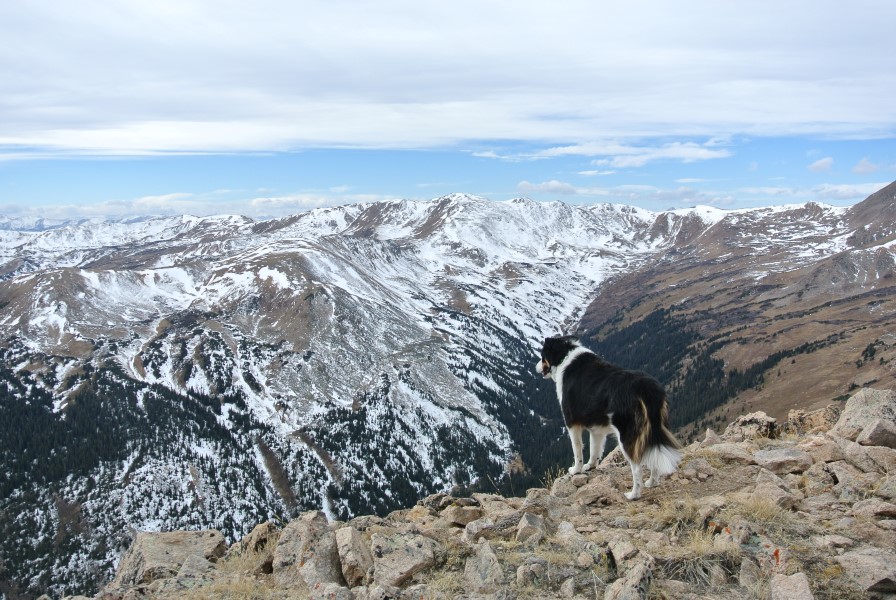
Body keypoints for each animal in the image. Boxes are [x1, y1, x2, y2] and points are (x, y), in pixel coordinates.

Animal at [536, 336, 684, 500]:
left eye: (542, 356)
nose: (536, 367)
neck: (564, 356)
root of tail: (644, 388)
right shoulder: (597, 428)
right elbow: (595, 450)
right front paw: (590, 466)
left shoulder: (572, 422)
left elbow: (577, 450)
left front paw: (576, 470)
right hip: (655, 427)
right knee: (652, 454)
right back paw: (652, 482)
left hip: (627, 434)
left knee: (636, 466)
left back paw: (634, 494)